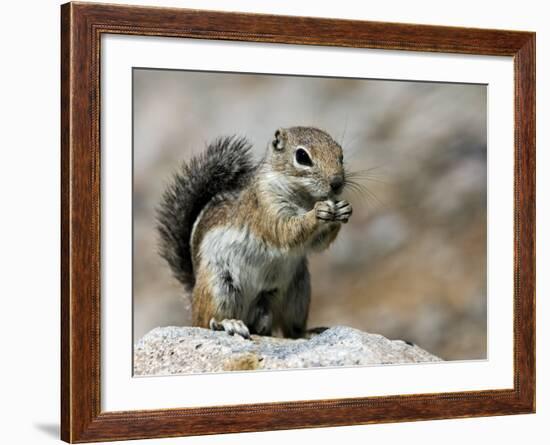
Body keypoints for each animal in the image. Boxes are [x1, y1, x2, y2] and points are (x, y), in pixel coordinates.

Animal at [157, 126, 354, 338]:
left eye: (341, 155)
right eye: (302, 156)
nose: (337, 183)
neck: (304, 197)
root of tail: (193, 294)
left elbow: (318, 244)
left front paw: (343, 210)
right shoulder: (266, 207)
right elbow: (285, 231)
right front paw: (317, 213)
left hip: (297, 291)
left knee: (289, 329)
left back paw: (304, 333)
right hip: (219, 285)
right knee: (206, 321)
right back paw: (228, 323)